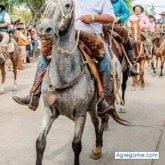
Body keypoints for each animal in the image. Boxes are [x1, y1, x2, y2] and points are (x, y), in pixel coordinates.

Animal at [36, 0, 129, 165]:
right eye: (45, 5)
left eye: (67, 5)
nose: (44, 30)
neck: (63, 77)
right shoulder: (49, 110)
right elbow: (40, 143)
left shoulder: (80, 114)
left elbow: (76, 145)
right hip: (91, 107)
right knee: (96, 121)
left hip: (109, 97)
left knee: (104, 118)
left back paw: (98, 147)